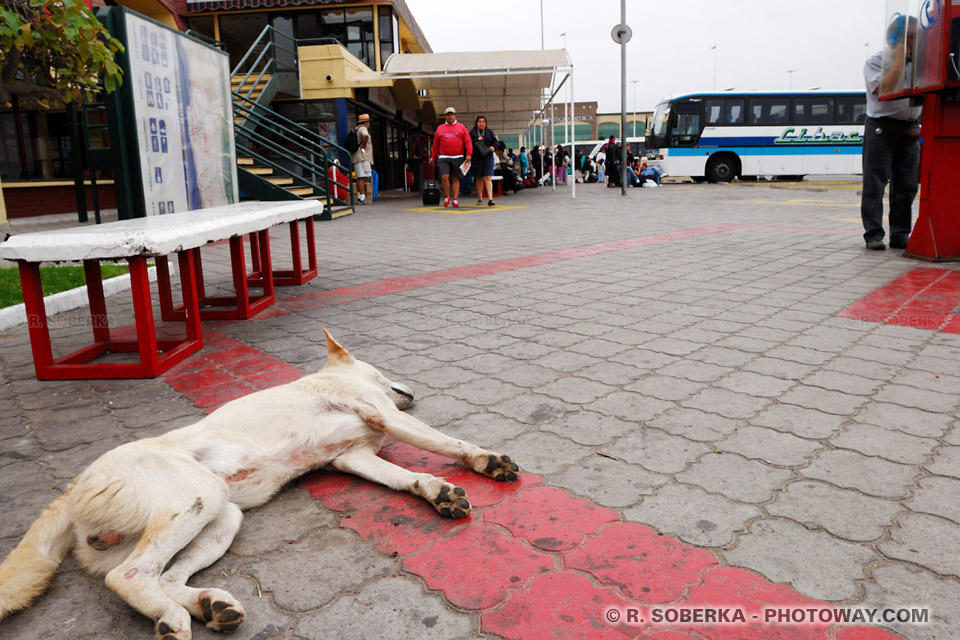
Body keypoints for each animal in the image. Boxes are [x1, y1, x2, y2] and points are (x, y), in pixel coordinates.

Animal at [0, 332, 516, 636]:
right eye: (381, 370)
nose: (410, 387)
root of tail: (70, 492)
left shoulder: (353, 458)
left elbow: (408, 478)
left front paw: (438, 493)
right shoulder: (381, 415)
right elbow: (446, 442)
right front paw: (486, 461)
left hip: (222, 518)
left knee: (165, 577)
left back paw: (210, 606)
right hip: (201, 497)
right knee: (127, 576)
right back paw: (173, 618)